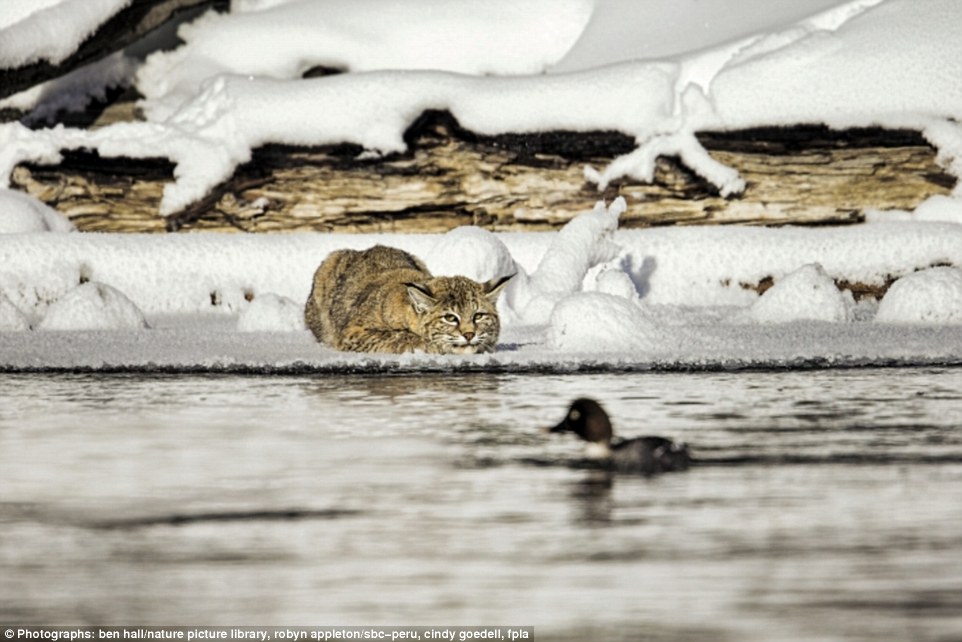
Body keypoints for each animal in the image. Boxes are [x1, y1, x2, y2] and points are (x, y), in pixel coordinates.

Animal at [308, 245, 512, 356]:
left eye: (478, 316)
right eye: (450, 318)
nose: (469, 335)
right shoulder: (353, 332)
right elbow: (398, 335)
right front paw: (431, 345)